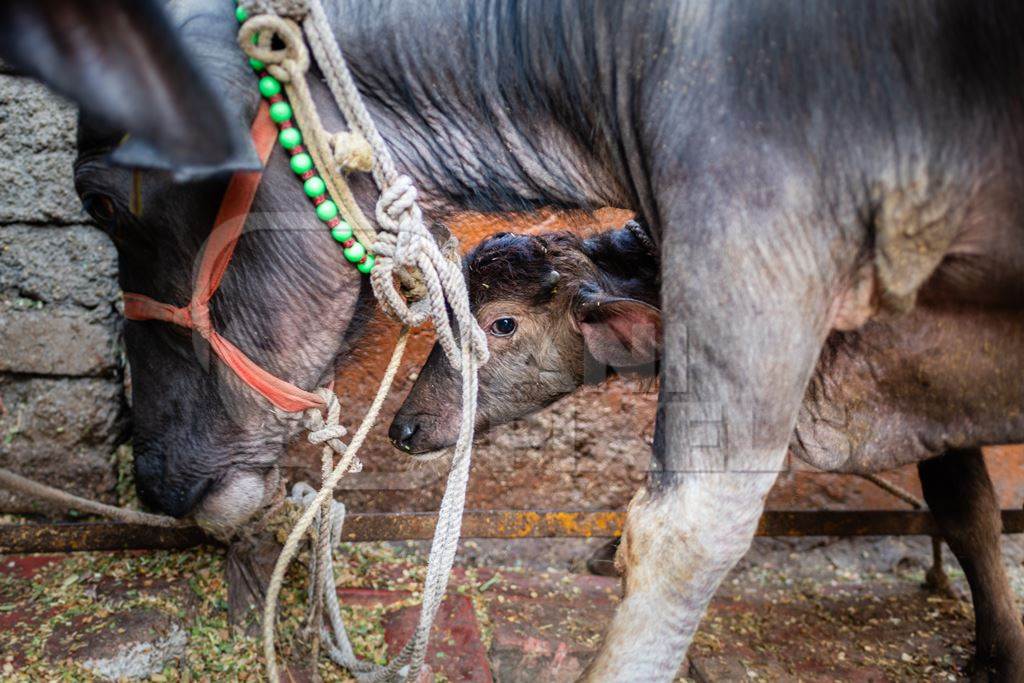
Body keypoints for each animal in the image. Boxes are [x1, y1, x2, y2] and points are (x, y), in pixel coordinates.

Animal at [74, 0, 1024, 679]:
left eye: (104, 200)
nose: (155, 473)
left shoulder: (758, 274)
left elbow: (682, 539)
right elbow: (969, 510)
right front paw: (995, 647)